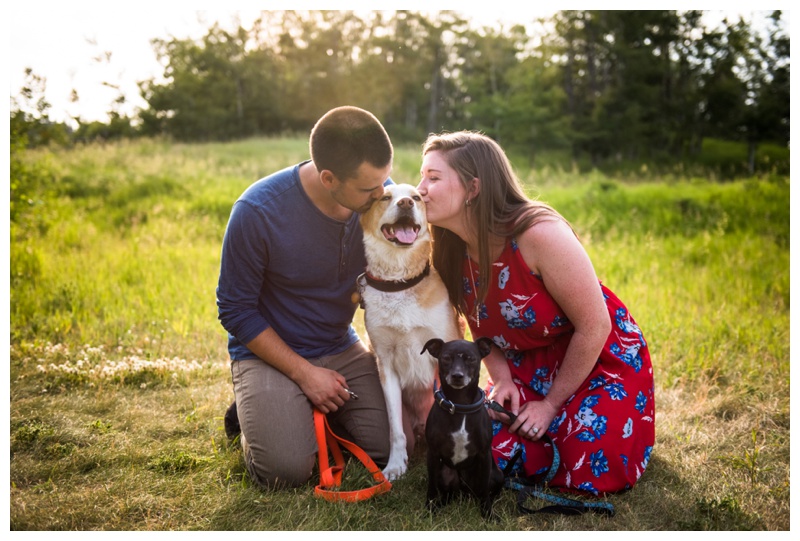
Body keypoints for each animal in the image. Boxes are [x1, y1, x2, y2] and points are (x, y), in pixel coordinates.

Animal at [360, 184, 460, 478]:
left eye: (416, 197)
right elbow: (395, 428)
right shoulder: (386, 365)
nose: (405, 203)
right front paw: (395, 465)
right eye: (384, 197)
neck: (399, 283)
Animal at [422, 338, 504, 520]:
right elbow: (431, 487)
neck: (459, 406)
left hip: (495, 476)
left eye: (471, 359)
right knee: (447, 494)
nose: (457, 375)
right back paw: (440, 505)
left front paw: (487, 513)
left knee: (485, 491)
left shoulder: (484, 455)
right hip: (444, 474)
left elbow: (485, 492)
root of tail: (463, 489)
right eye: (446, 358)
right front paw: (429, 509)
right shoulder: (432, 454)